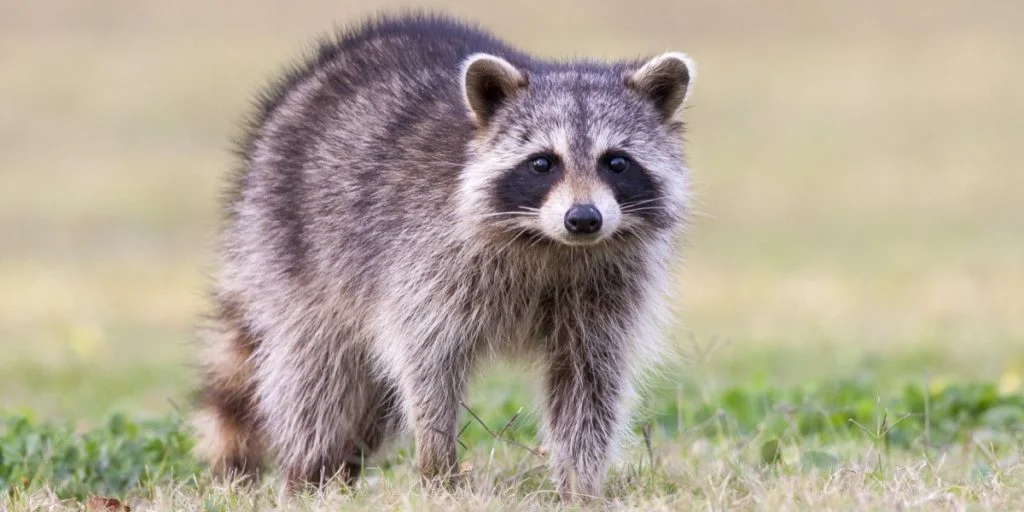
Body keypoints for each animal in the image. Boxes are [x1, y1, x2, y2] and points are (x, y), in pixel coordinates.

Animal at [192, 13, 696, 500]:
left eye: (617, 162)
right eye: (542, 163)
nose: (584, 219)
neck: (549, 243)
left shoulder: (608, 292)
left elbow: (587, 386)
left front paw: (581, 485)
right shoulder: (426, 262)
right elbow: (426, 363)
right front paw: (438, 466)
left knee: (370, 406)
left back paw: (340, 473)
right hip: (293, 248)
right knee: (317, 377)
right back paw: (307, 474)